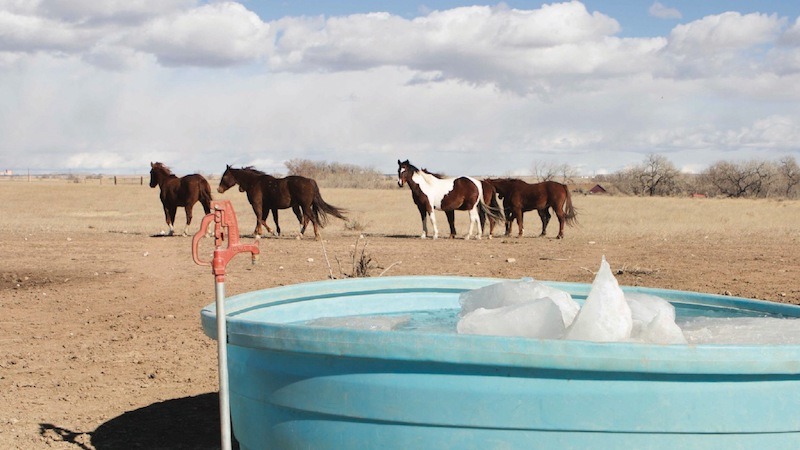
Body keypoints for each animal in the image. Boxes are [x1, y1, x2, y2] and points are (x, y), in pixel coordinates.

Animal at [217, 165, 347, 240]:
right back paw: (300, 235)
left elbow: (260, 218)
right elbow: (265, 219)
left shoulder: (257, 205)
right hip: (303, 206)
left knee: (311, 218)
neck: (254, 182)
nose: (219, 189)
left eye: (224, 176)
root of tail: (310, 181)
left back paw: (315, 236)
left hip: (304, 206)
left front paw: (266, 232)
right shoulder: (269, 207)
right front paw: (259, 232)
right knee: (307, 219)